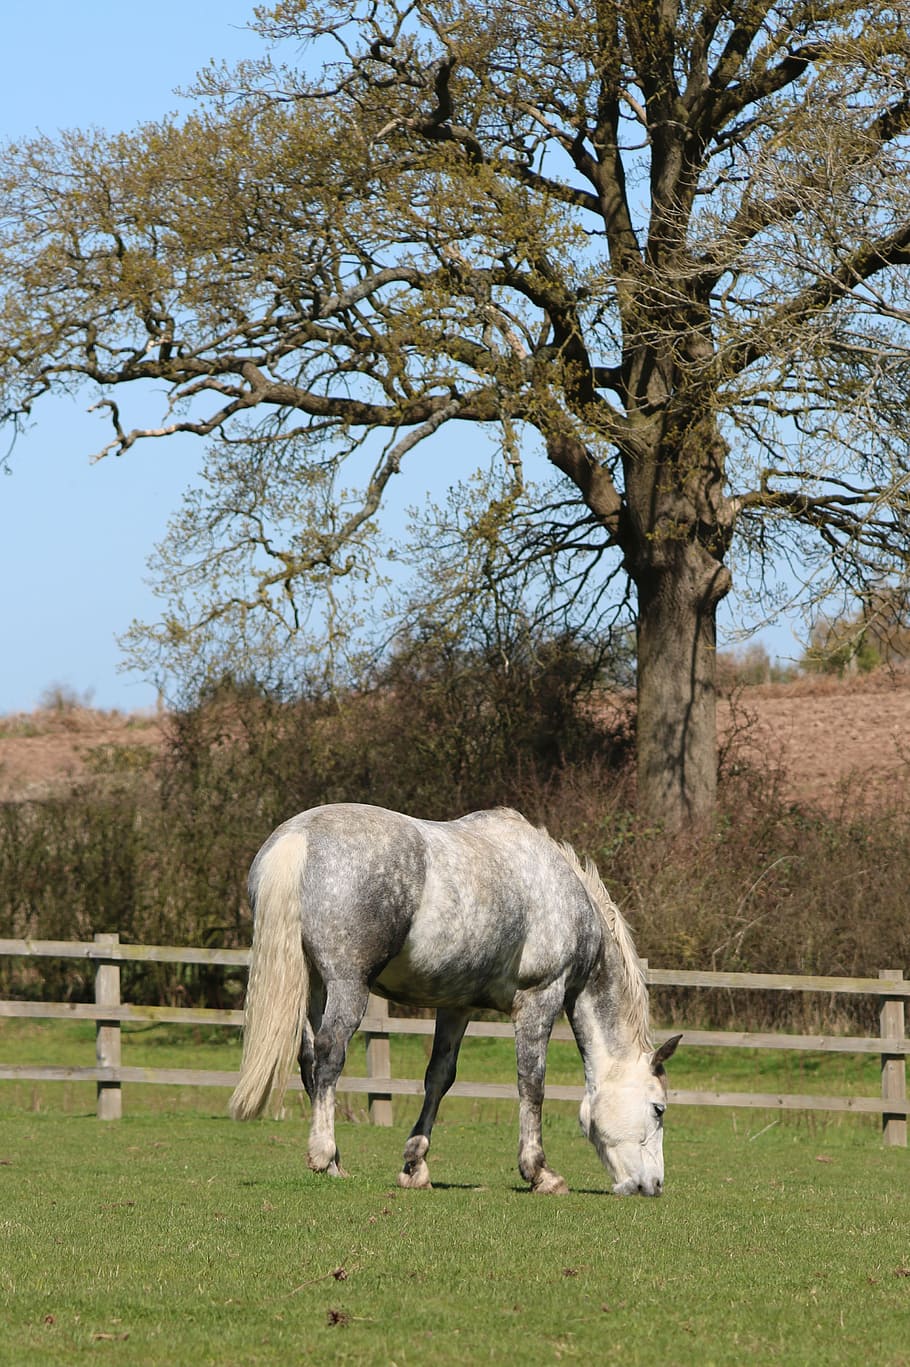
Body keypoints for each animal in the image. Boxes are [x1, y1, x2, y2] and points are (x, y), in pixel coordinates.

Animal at [229, 803, 680, 1195]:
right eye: (658, 1108)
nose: (654, 1185)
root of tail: (298, 837)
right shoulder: (541, 997)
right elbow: (532, 1082)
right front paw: (540, 1172)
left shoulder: (456, 1005)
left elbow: (439, 1078)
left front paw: (415, 1165)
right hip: (347, 985)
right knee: (328, 1056)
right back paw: (325, 1156)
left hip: (314, 985)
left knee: (308, 1058)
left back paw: (337, 1160)